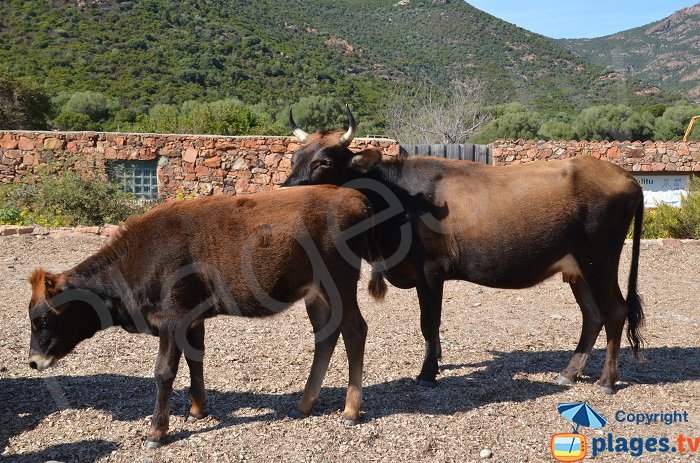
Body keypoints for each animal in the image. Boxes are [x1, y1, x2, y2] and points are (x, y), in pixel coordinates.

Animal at [26, 185, 378, 450]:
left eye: (42, 320)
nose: (33, 361)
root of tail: (351, 195)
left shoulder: (172, 316)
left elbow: (164, 371)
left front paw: (156, 432)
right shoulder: (192, 319)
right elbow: (196, 358)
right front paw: (197, 409)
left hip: (340, 282)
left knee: (354, 330)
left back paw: (350, 410)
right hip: (315, 293)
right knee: (326, 335)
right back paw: (304, 404)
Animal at [282, 106, 644, 396]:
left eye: (325, 161)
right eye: (294, 158)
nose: (285, 191)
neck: (397, 197)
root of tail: (625, 176)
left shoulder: (430, 270)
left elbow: (429, 323)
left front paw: (427, 373)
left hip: (599, 260)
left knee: (615, 311)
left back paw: (607, 381)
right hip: (577, 268)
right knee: (593, 315)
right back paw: (569, 373)